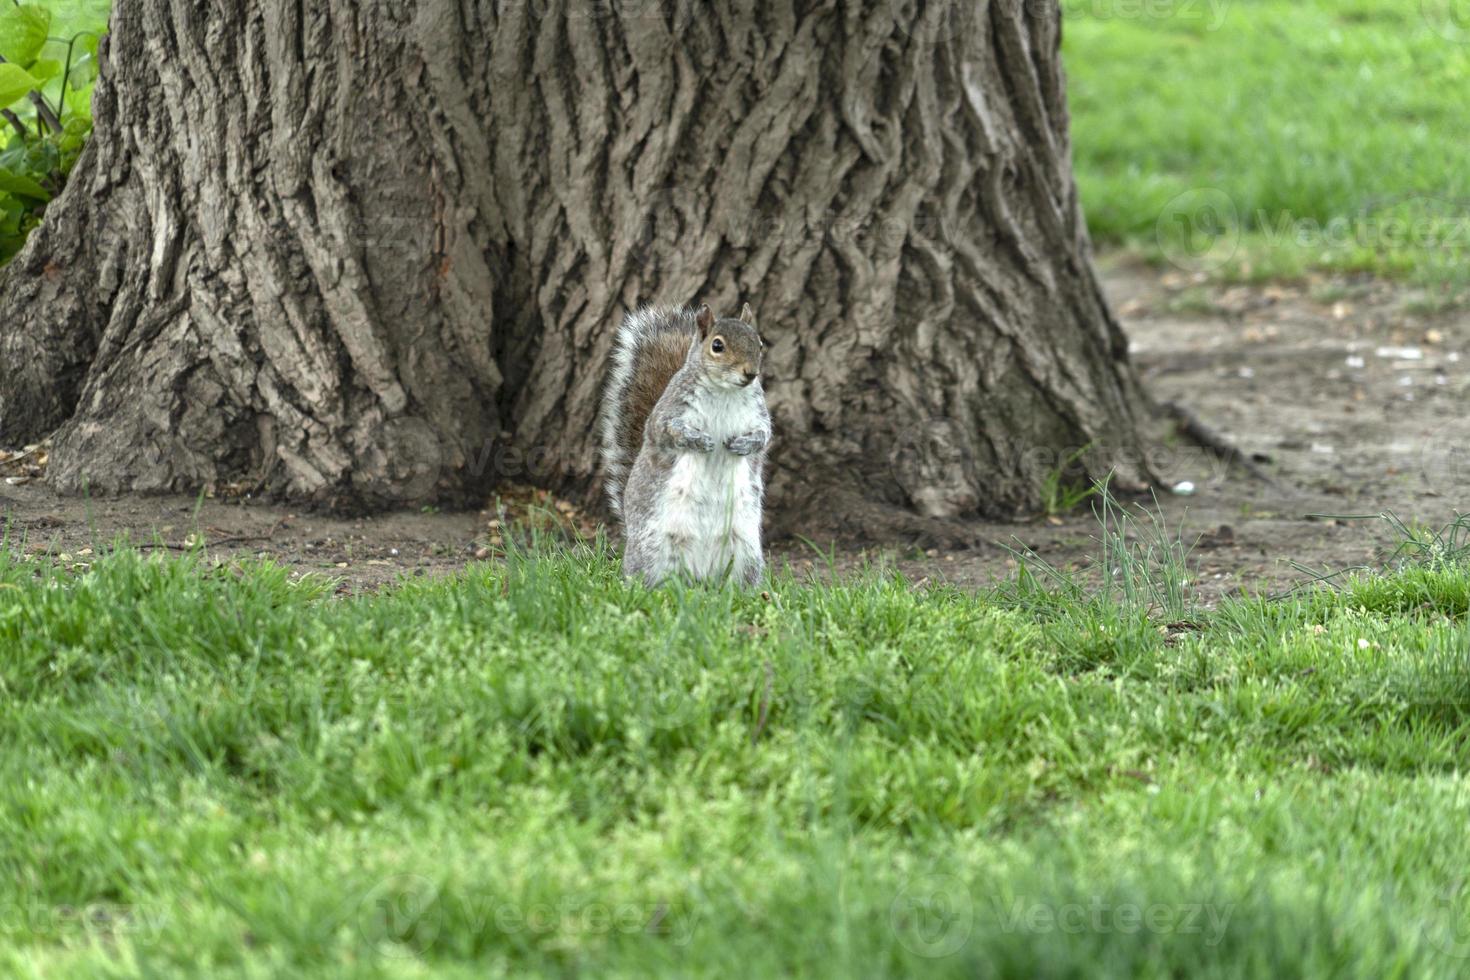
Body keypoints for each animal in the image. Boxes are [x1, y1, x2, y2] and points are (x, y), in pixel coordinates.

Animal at [599, 302, 776, 587]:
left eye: (759, 344)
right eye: (717, 346)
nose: (751, 374)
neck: (725, 391)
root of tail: (701, 577)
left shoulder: (758, 415)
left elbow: (764, 436)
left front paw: (744, 444)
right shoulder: (668, 413)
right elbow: (667, 431)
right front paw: (699, 441)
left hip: (745, 552)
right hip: (653, 550)